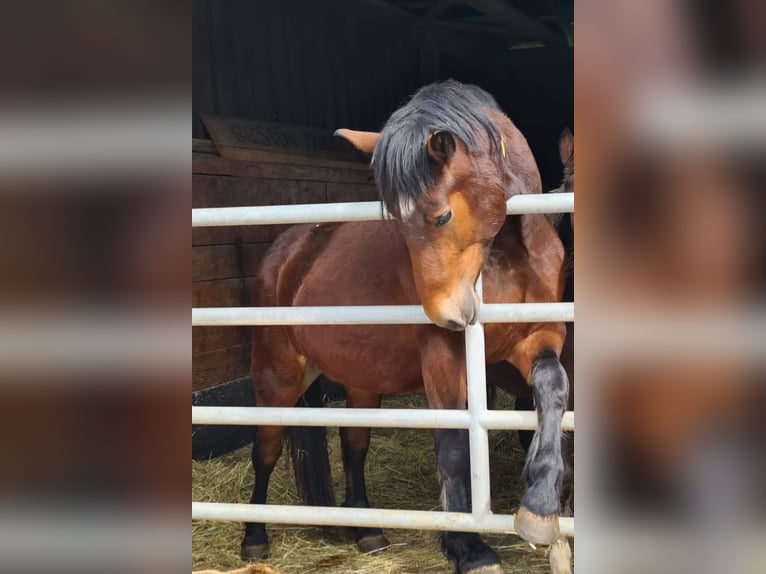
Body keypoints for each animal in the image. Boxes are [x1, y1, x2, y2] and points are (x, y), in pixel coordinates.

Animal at [240, 81, 568, 574]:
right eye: (396, 220)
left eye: (442, 215)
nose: (448, 316)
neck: (509, 257)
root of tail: (287, 250)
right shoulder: (446, 361)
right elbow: (453, 447)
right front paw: (468, 549)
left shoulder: (539, 339)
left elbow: (553, 388)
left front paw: (540, 506)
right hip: (277, 379)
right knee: (266, 451)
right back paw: (255, 537)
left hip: (361, 382)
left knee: (353, 444)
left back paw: (367, 531)